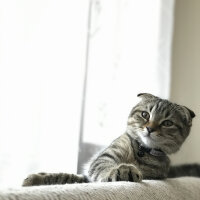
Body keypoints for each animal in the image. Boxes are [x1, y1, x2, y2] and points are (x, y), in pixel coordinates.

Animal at [22, 93, 198, 187]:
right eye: (145, 115)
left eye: (167, 123)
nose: (149, 128)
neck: (140, 152)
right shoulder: (105, 158)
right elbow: (67, 176)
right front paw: (36, 178)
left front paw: (124, 170)